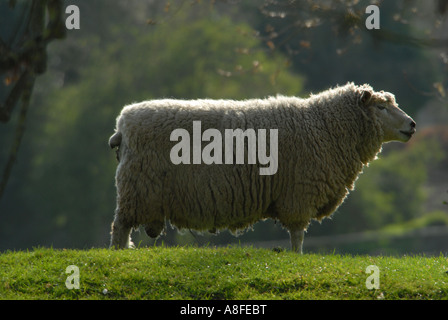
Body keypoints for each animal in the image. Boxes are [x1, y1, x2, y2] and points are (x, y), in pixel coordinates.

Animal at [108, 82, 416, 252]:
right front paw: (297, 258)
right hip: (137, 188)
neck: (325, 127)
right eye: (381, 107)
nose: (412, 125)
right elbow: (297, 236)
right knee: (119, 228)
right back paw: (121, 254)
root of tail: (122, 123)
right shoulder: (299, 194)